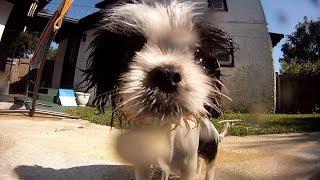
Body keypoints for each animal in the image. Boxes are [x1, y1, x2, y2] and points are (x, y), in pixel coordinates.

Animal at [82, 0, 232, 179]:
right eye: (129, 51)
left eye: (198, 54)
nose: (167, 75)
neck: (163, 129)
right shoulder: (143, 166)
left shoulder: (187, 167)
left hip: (210, 153)